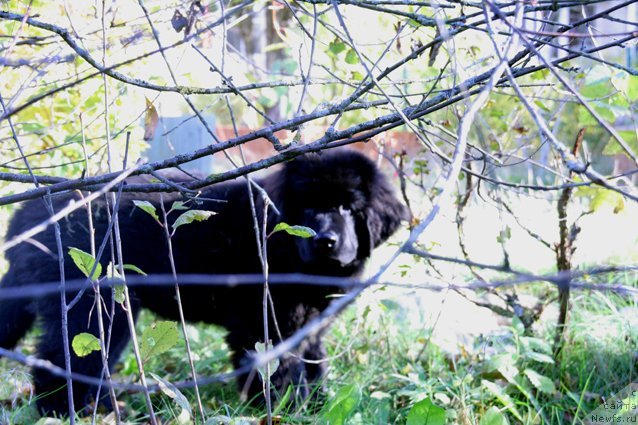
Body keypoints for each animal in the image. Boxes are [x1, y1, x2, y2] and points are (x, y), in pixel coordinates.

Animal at [0, 149, 408, 414]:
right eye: (306, 208)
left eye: (349, 208)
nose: (325, 241)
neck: (279, 243)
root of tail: (26, 214)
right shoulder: (264, 322)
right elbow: (278, 369)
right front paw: (282, 408)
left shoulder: (309, 322)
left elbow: (311, 362)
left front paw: (317, 404)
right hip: (95, 305)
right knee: (64, 362)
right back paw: (70, 411)